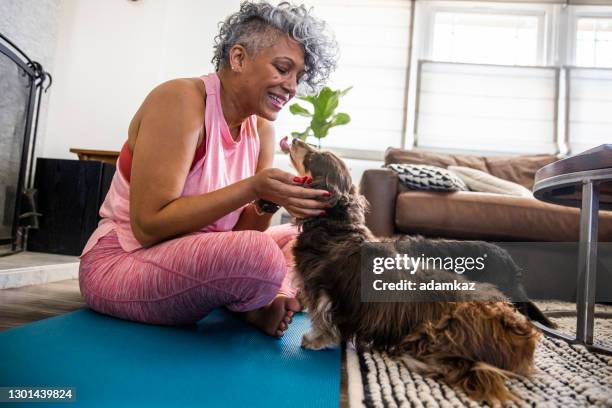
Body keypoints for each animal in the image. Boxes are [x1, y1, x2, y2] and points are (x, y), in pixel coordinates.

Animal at [282, 138, 540, 404]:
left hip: (439, 330)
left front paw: (315, 340)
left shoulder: (322, 288)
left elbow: (321, 319)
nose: (295, 139)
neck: (336, 225)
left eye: (313, 157)